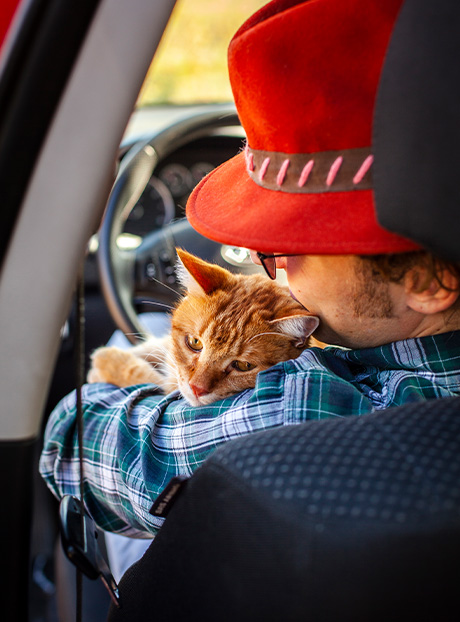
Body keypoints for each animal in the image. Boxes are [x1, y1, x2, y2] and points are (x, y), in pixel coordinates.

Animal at [89, 251, 320, 408]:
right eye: (194, 343)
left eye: (244, 365)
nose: (196, 389)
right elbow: (159, 347)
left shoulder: (172, 388)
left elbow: (143, 375)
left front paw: (107, 362)